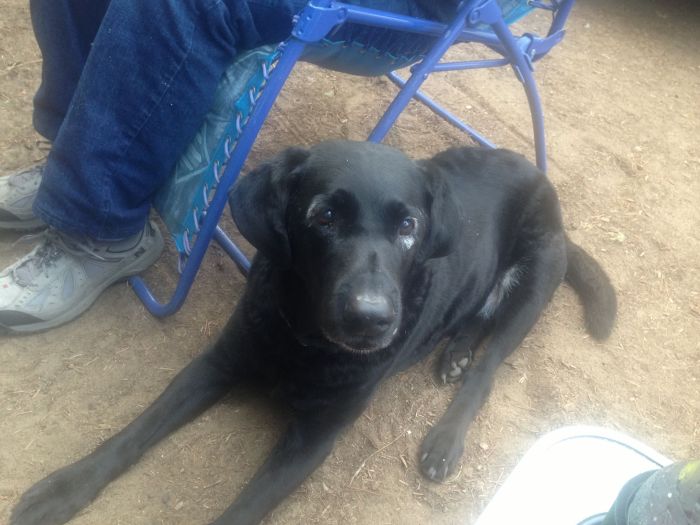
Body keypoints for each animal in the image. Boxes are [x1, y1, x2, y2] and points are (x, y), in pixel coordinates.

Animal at [9, 139, 612, 524]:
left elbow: (246, 507)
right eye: (323, 217)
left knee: (490, 366)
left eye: (408, 227)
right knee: (473, 325)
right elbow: (135, 432)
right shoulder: (216, 365)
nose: (370, 319)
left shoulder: (315, 438)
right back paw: (455, 354)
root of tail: (540, 176)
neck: (304, 339)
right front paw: (64, 489)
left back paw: (447, 435)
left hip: (535, 280)